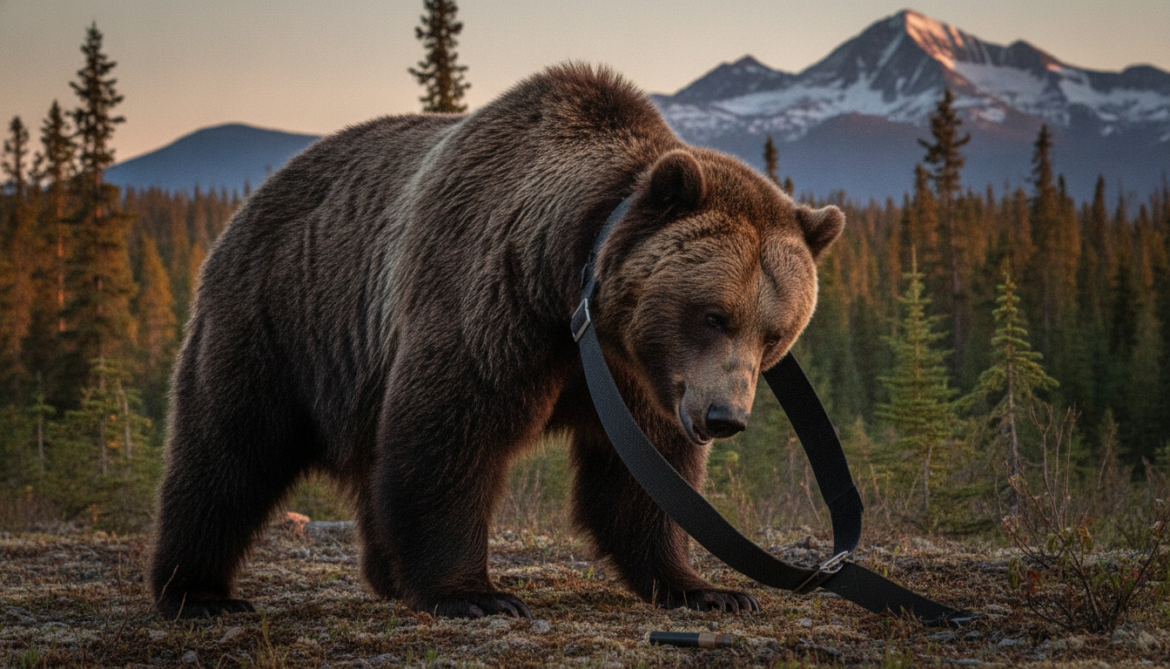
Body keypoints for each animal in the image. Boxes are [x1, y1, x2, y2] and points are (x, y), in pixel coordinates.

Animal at [149, 63, 844, 620]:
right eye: (713, 315)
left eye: (774, 333)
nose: (724, 416)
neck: (572, 294)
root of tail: (252, 201)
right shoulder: (492, 299)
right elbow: (450, 435)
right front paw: (476, 594)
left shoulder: (634, 375)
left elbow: (643, 475)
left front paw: (707, 587)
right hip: (280, 317)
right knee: (228, 450)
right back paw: (198, 593)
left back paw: (386, 575)